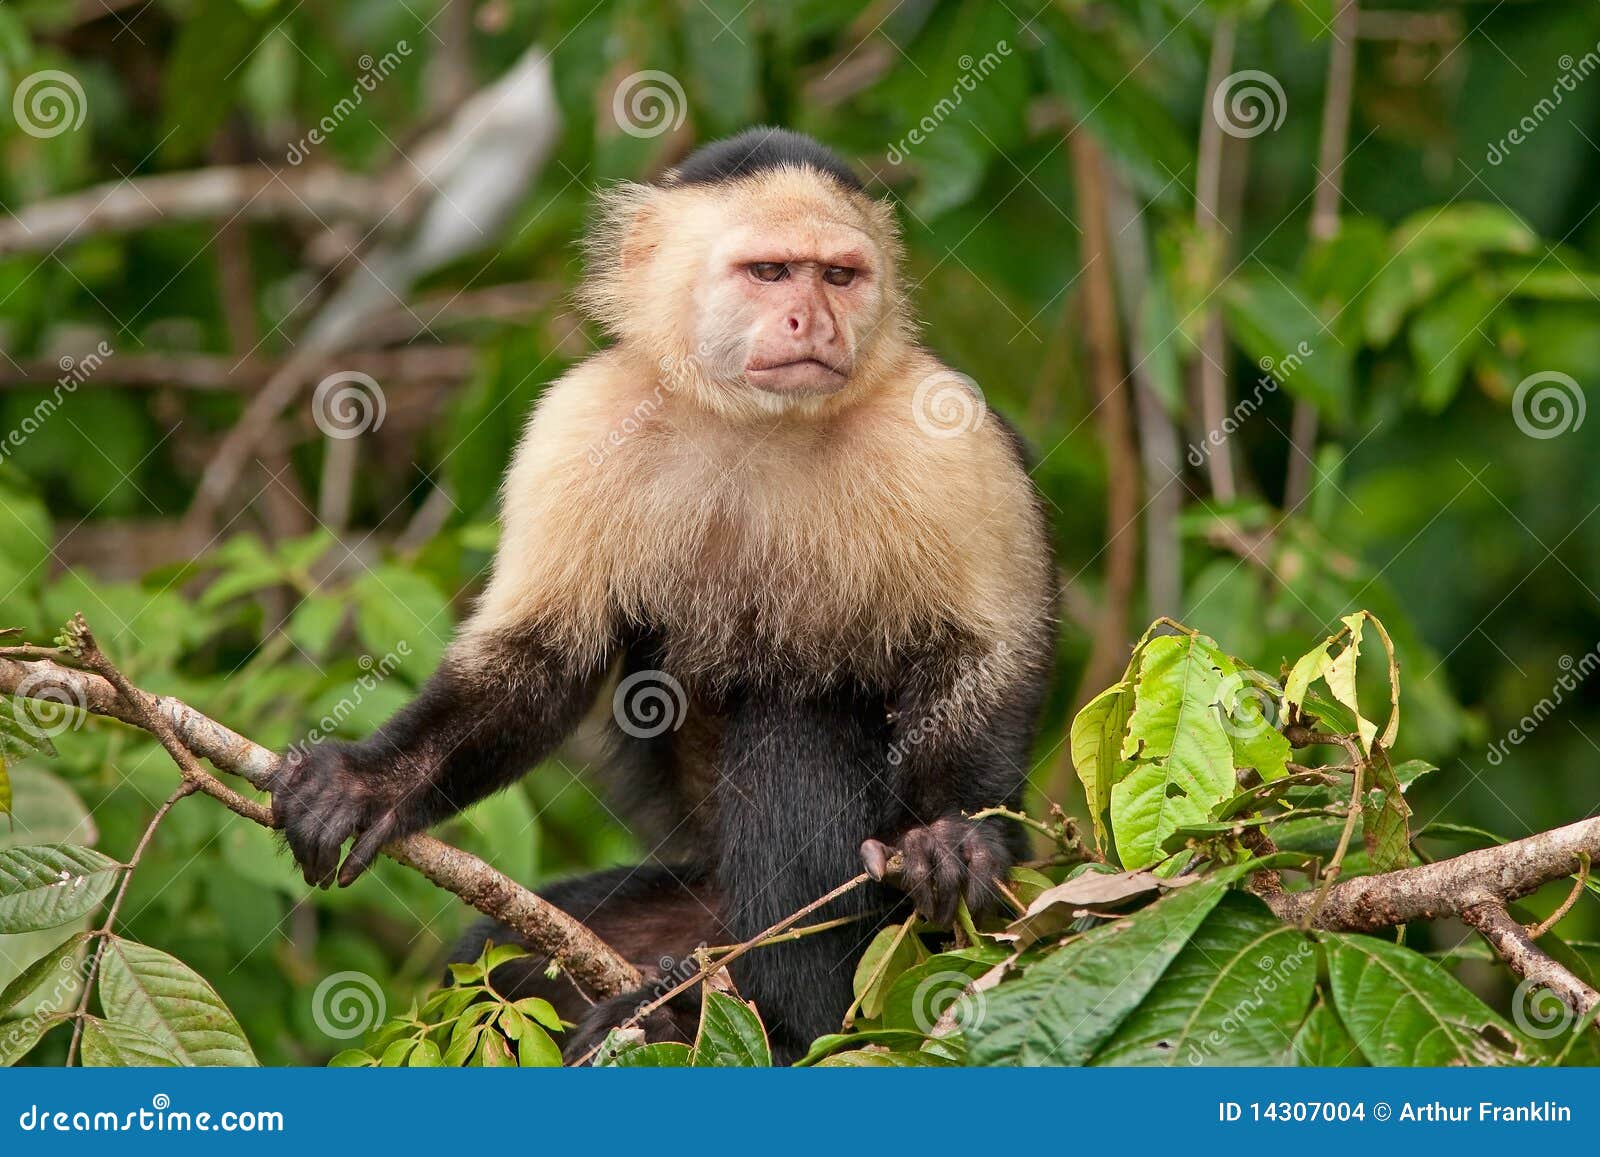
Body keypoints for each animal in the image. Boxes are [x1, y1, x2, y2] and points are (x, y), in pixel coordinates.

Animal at [268, 128, 1056, 1068]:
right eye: (769, 272)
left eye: (839, 276)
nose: (816, 321)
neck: (760, 423)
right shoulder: (576, 421)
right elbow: (537, 661)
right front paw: (371, 781)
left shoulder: (947, 433)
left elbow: (989, 655)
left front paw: (952, 838)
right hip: (690, 903)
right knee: (501, 956)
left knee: (795, 719)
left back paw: (778, 1020)